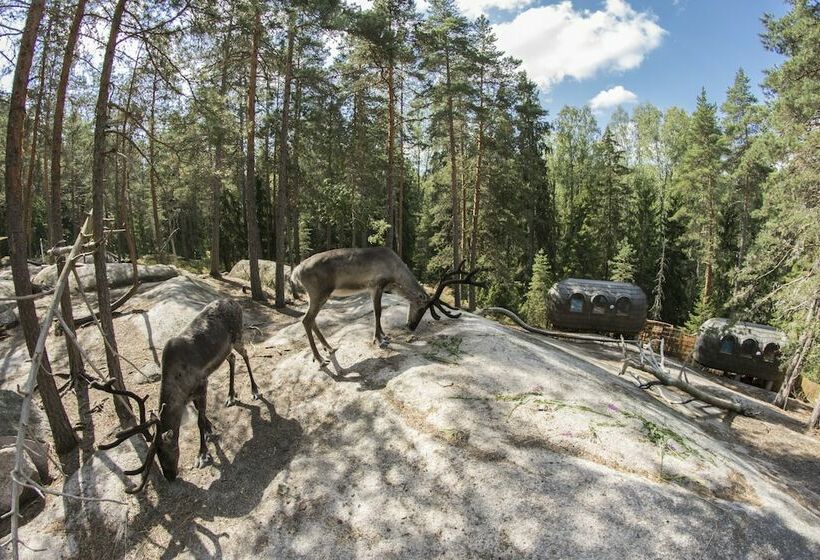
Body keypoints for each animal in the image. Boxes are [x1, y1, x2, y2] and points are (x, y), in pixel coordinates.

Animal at [91, 298, 259, 493]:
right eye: (157, 454)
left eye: (166, 450)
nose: (170, 476)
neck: (178, 383)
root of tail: (234, 302)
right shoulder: (189, 395)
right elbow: (201, 415)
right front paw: (210, 430)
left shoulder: (201, 384)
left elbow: (199, 421)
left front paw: (202, 455)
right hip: (226, 350)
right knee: (232, 358)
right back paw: (231, 396)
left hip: (238, 336)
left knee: (245, 354)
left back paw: (255, 390)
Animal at [289, 247, 484, 366]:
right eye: (421, 307)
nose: (411, 326)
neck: (395, 274)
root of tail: (295, 272)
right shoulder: (376, 284)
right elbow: (378, 312)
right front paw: (379, 339)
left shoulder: (377, 288)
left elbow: (379, 312)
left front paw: (384, 335)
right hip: (318, 293)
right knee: (306, 320)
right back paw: (320, 359)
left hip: (318, 296)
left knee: (312, 320)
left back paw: (329, 348)